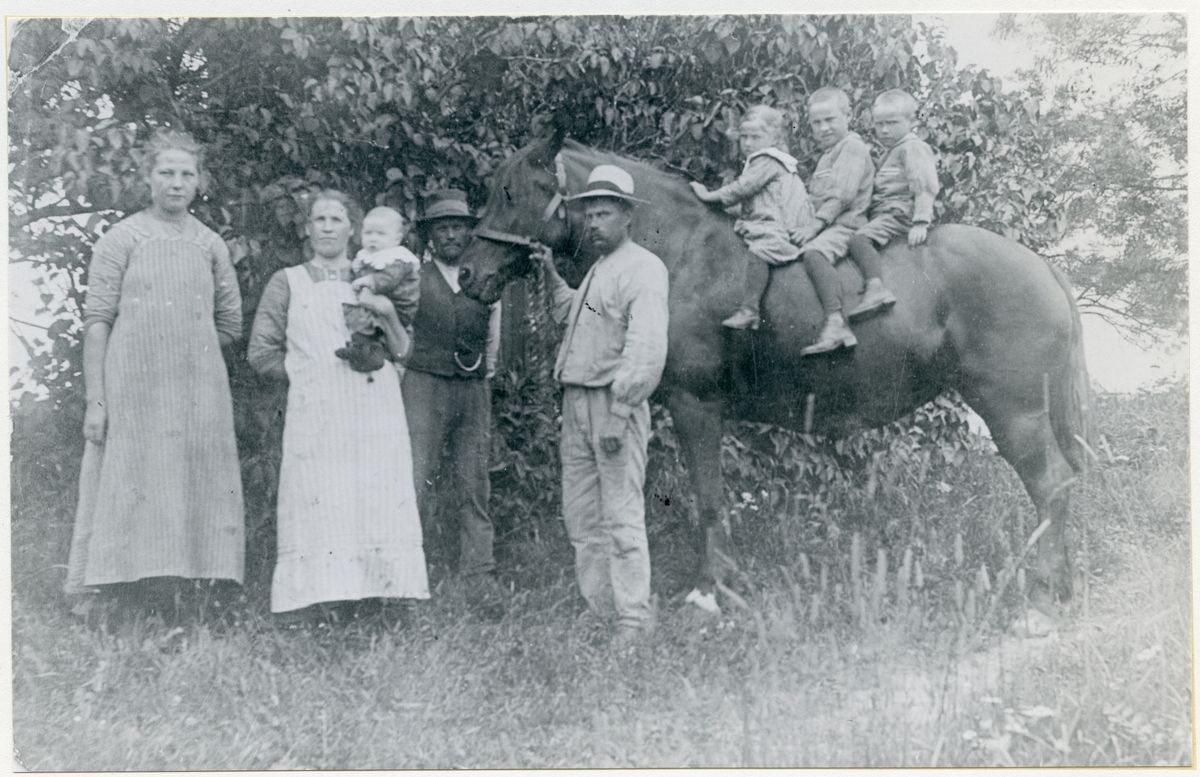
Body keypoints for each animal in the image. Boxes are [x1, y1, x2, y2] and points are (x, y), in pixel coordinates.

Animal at [456, 133, 1089, 613]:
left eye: (511, 191)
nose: (466, 274)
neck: (682, 254)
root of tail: (1042, 268)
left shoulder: (695, 404)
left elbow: (709, 499)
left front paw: (711, 589)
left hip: (1014, 412)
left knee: (1054, 486)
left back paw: (1043, 592)